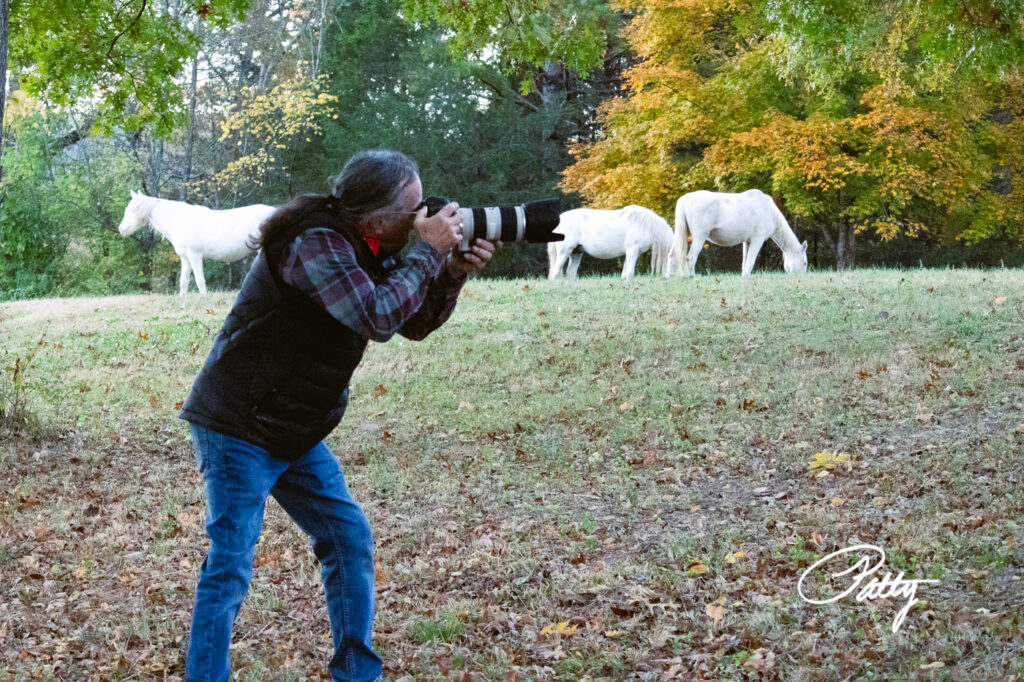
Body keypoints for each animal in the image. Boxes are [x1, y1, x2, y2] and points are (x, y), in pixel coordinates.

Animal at [118, 191, 276, 296]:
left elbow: (200, 281)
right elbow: (183, 281)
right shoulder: (185, 258)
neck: (180, 220)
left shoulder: (195, 256)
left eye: (131, 209)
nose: (121, 229)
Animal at [671, 187, 806, 274]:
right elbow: (750, 262)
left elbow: (744, 264)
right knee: (690, 258)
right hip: (699, 237)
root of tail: (687, 197)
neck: (770, 211)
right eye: (804, 263)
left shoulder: (747, 241)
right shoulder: (757, 239)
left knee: (673, 255)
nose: (801, 278)